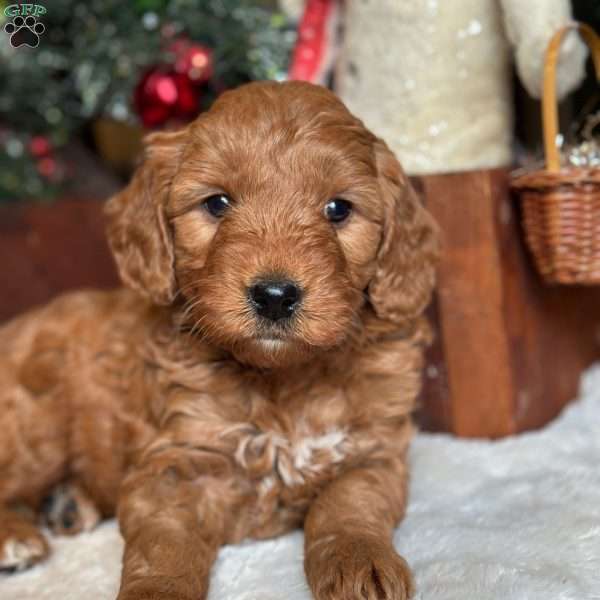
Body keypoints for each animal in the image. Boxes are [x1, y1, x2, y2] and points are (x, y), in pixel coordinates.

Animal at [1, 81, 440, 600]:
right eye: (217, 204)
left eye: (338, 209)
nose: (275, 296)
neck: (281, 380)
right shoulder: (176, 464)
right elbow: (164, 545)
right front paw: (157, 593)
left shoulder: (373, 452)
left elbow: (350, 504)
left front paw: (361, 564)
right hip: (35, 425)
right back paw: (17, 537)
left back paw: (66, 505)